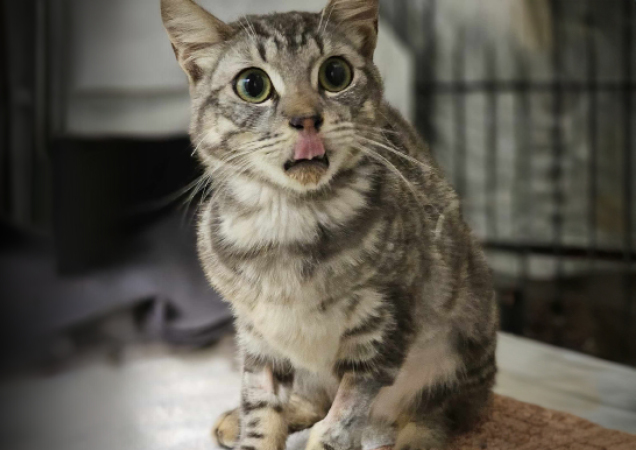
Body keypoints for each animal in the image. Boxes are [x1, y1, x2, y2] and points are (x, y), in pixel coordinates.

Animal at [161, 0, 500, 450]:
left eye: (335, 74)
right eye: (252, 84)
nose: (306, 118)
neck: (287, 223)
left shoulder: (382, 328)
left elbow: (338, 423)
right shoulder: (257, 333)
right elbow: (261, 409)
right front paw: (254, 429)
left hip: (458, 346)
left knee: (431, 417)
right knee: (311, 399)